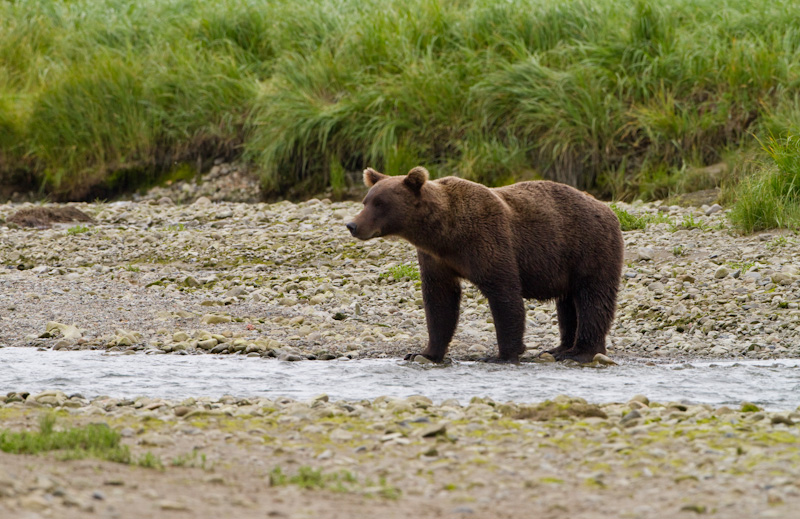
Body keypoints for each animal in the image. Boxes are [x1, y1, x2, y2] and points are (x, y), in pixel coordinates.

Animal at [344, 169, 624, 364]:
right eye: (366, 200)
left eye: (380, 203)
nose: (352, 225)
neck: (445, 233)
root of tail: (607, 208)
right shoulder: (436, 259)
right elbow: (439, 302)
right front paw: (424, 353)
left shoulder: (488, 240)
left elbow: (504, 294)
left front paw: (502, 354)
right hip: (567, 262)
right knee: (567, 303)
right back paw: (560, 348)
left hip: (590, 247)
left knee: (593, 298)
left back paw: (580, 351)